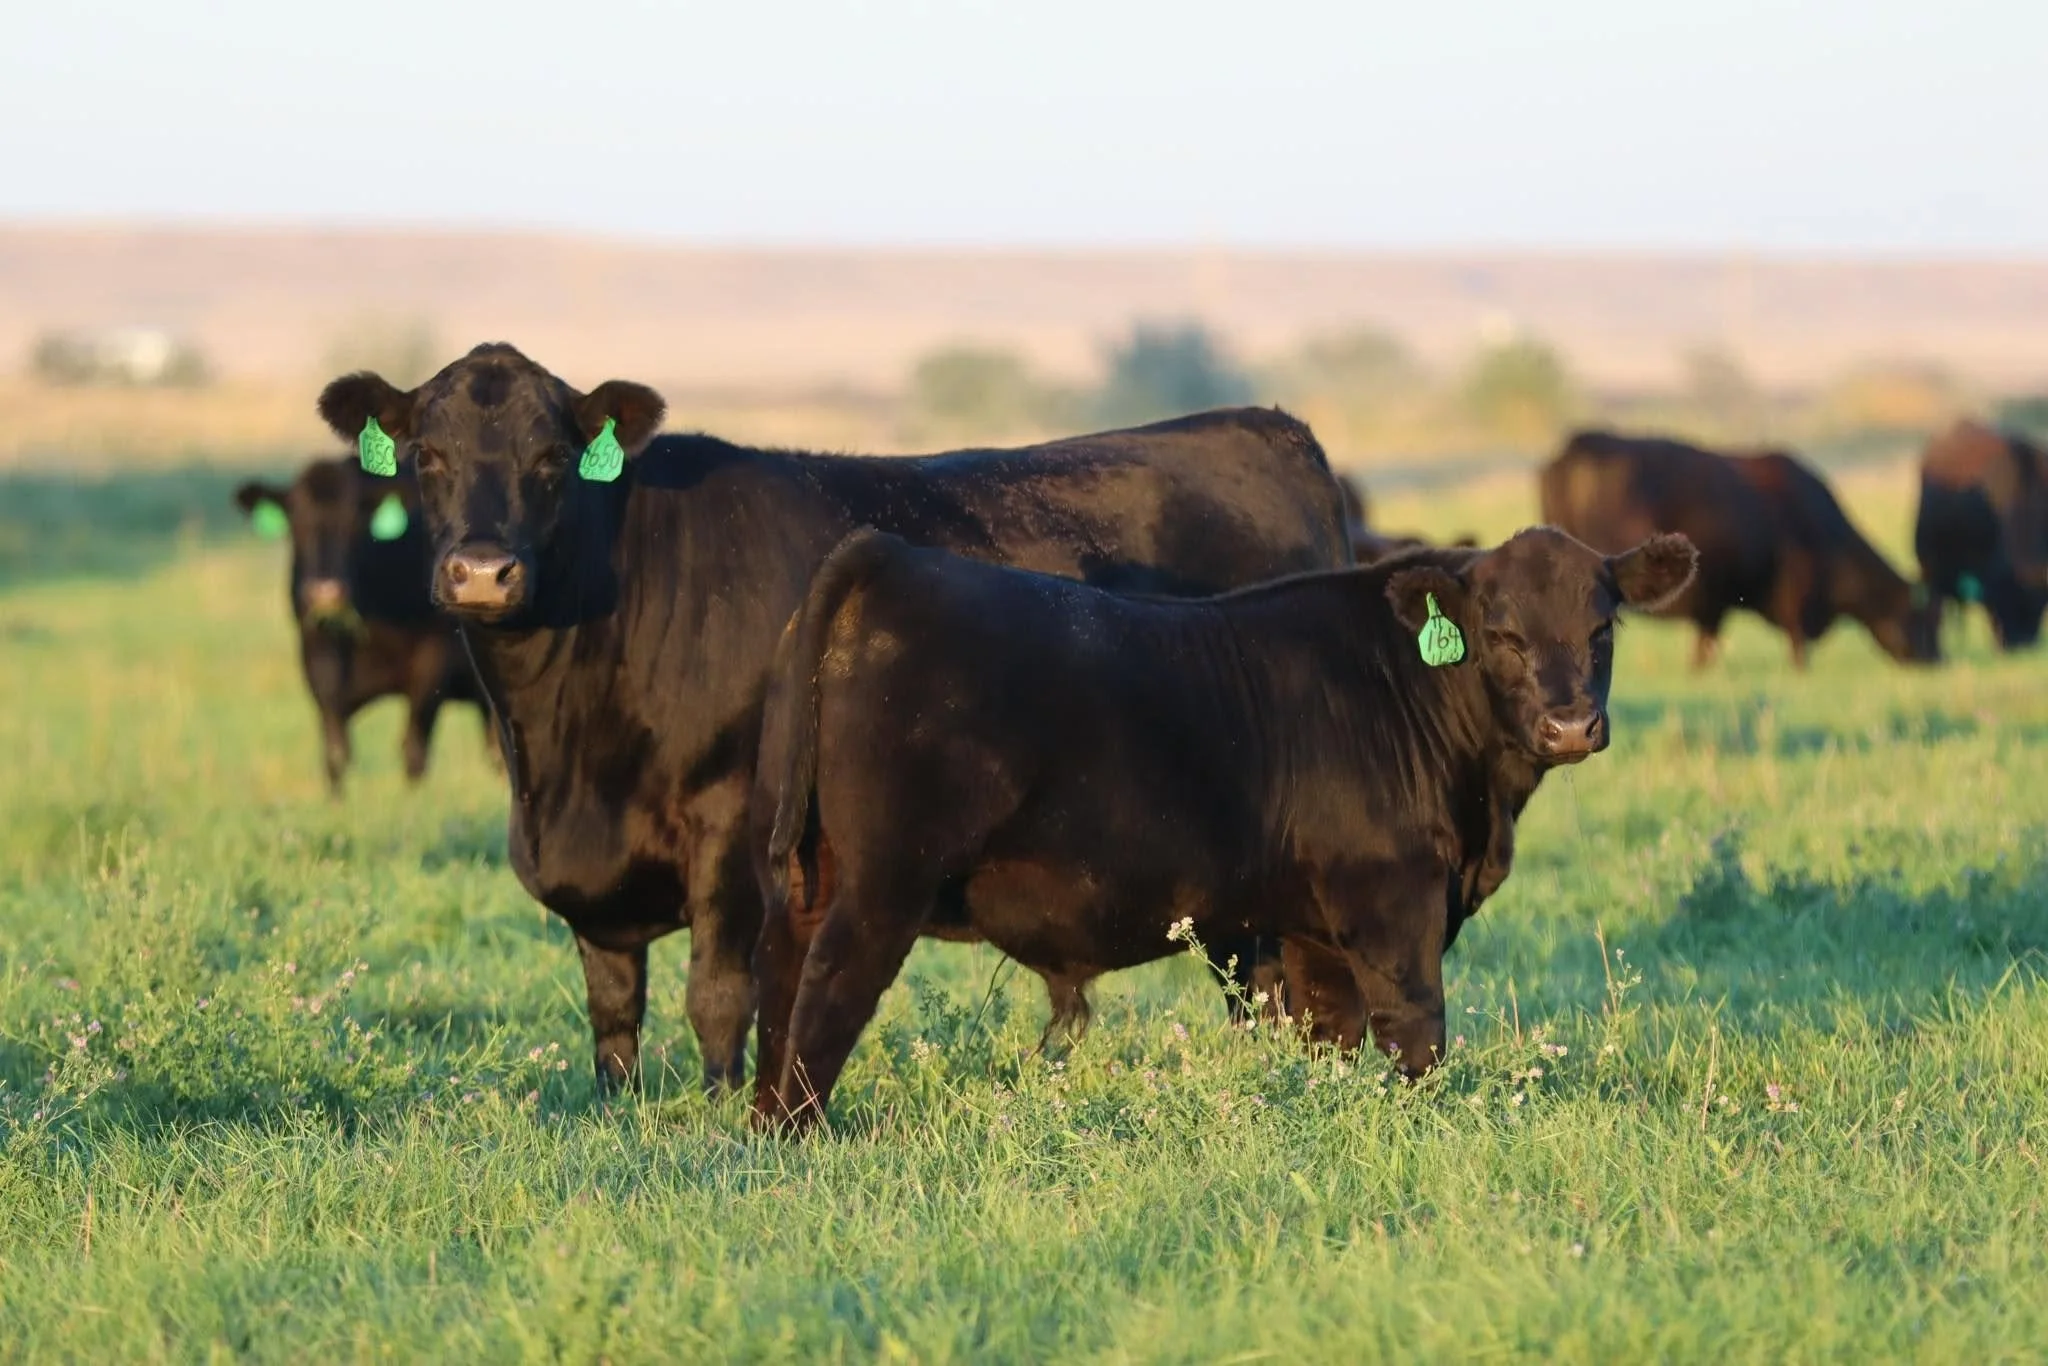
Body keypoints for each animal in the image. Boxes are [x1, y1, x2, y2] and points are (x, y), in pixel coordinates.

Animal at [235, 457, 493, 793]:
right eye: (297, 524)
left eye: (353, 524)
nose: (325, 591)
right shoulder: (318, 662)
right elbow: (336, 753)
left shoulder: (433, 660)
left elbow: (414, 747)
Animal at [314, 343, 1353, 1096]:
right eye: (427, 457)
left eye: (550, 461)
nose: (483, 572)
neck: (565, 755)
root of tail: (1264, 429)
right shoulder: (591, 881)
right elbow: (613, 1016)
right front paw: (620, 1115)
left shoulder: (733, 829)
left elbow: (717, 998)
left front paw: (718, 1111)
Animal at [747, 525, 1697, 1132]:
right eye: (1501, 633)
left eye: (1603, 627)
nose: (1570, 726)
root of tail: (891, 556)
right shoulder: (1392, 900)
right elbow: (1415, 1032)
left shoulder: (1311, 929)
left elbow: (1329, 1036)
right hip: (885, 881)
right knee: (829, 987)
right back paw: (801, 1137)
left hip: (807, 872)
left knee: (781, 984)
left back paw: (759, 1131)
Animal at [1540, 430, 1938, 669]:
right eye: (1924, 619)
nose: (1939, 659)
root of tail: (1582, 441)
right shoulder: (1792, 596)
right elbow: (1793, 645)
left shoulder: (1715, 604)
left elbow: (1707, 643)